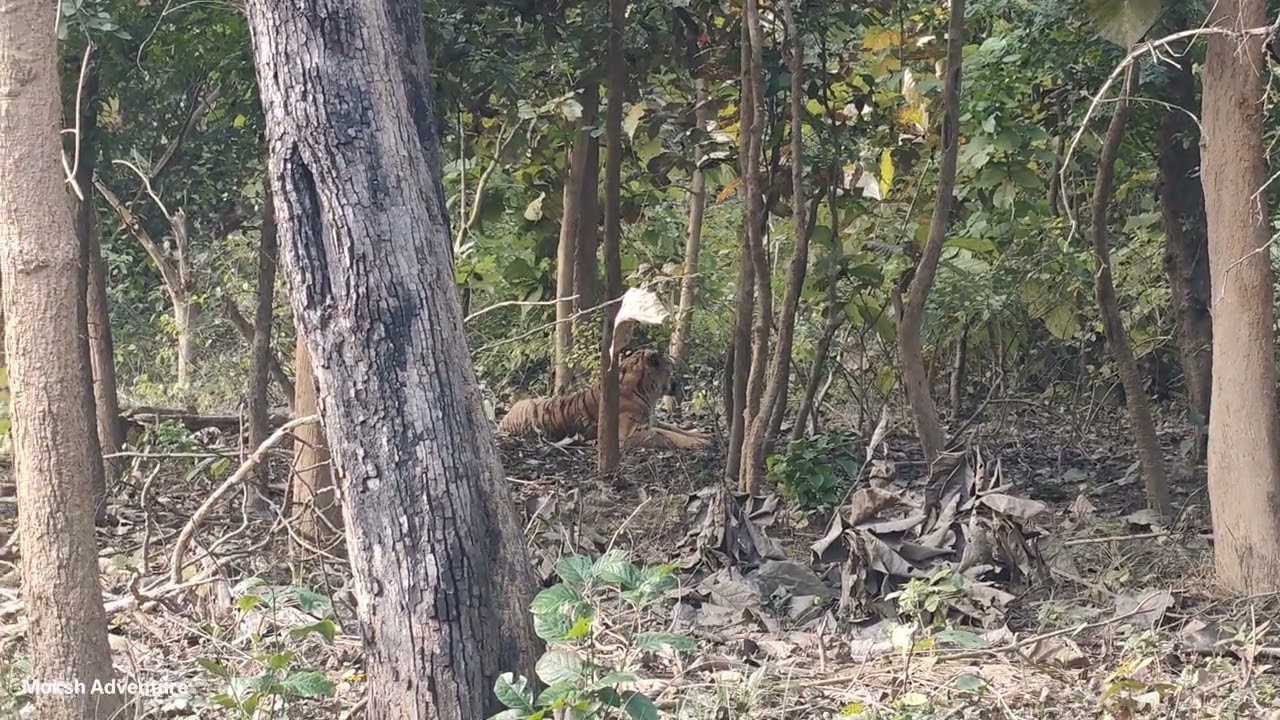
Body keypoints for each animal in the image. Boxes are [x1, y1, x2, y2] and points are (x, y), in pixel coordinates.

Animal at [497, 348, 712, 451]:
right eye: (671, 369)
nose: (680, 383)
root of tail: (502, 420)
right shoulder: (632, 432)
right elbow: (668, 436)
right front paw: (698, 443)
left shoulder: (652, 420)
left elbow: (675, 429)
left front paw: (703, 434)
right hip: (531, 409)